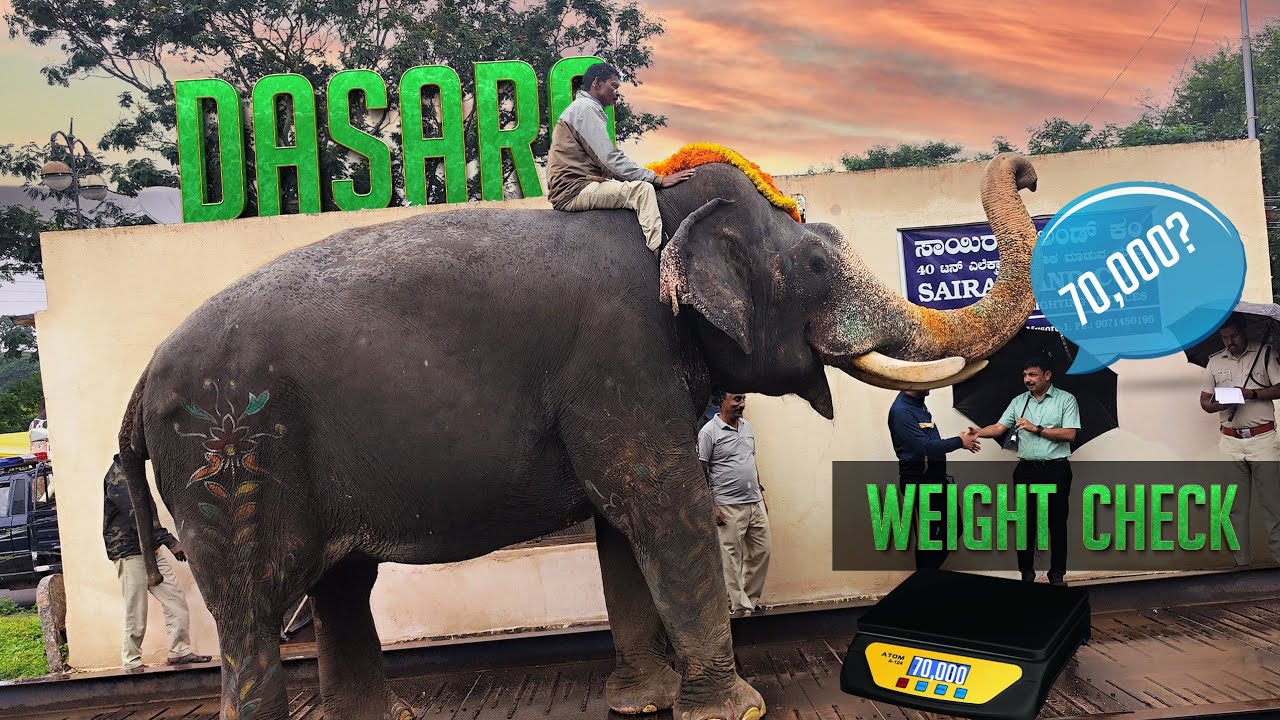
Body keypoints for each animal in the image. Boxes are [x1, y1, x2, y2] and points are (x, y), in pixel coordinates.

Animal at [115, 152, 1039, 720]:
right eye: (815, 265)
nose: (1027, 168)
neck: (666, 209)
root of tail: (143, 376)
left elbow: (622, 526)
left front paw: (644, 700)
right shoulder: (620, 351)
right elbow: (662, 502)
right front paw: (733, 708)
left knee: (343, 584)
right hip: (232, 456)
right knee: (254, 602)